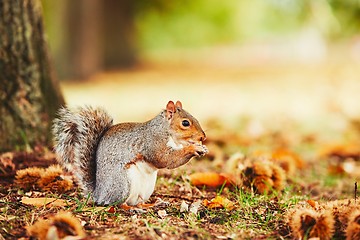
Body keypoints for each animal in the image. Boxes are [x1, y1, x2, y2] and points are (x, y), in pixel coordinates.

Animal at [51, 100, 208, 205]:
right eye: (185, 123)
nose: (203, 137)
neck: (165, 130)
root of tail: (99, 193)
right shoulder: (153, 143)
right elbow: (166, 159)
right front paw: (194, 149)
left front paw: (201, 148)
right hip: (123, 184)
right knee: (117, 203)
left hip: (146, 188)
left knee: (138, 201)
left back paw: (151, 204)